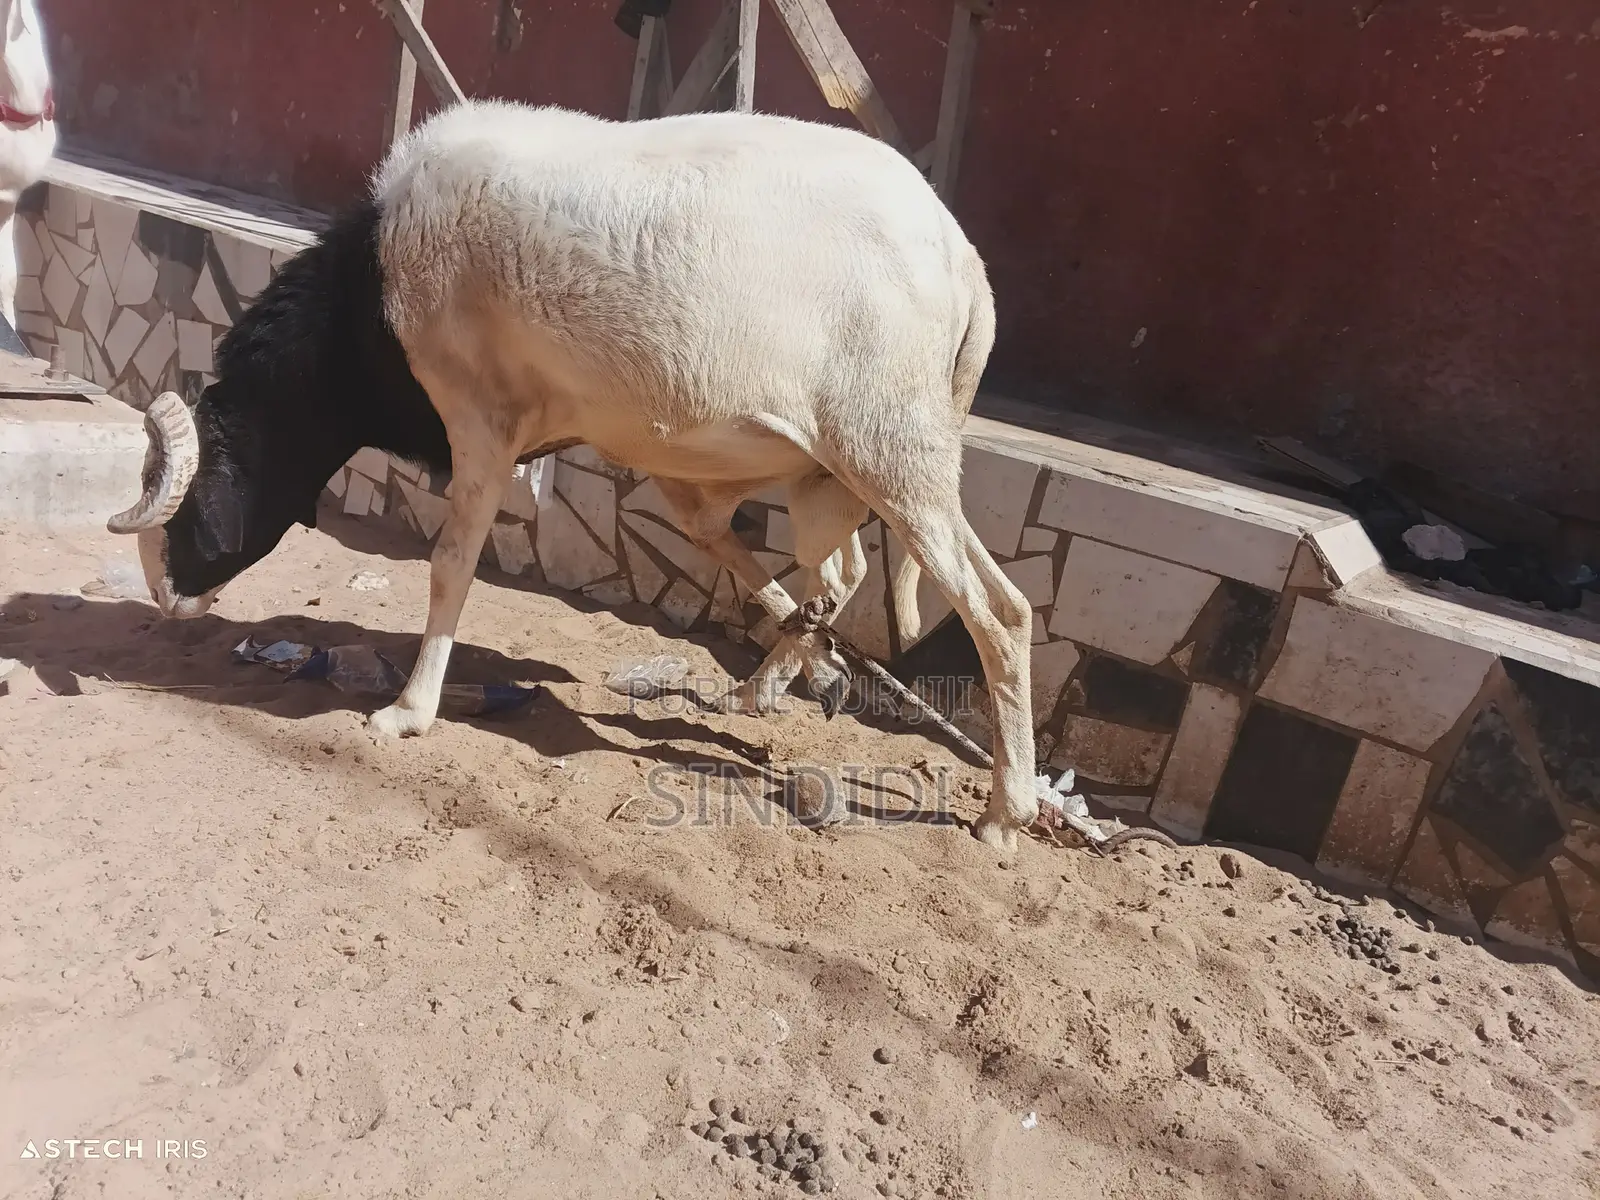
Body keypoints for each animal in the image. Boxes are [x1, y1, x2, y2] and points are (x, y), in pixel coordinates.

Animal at [108, 99, 1038, 850]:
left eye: (192, 505)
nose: (166, 599)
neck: (373, 290)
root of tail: (965, 263)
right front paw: (809, 662)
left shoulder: (481, 428)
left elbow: (450, 567)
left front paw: (406, 713)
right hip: (831, 471)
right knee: (825, 565)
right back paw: (776, 680)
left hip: (893, 453)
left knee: (1001, 611)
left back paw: (1005, 813)